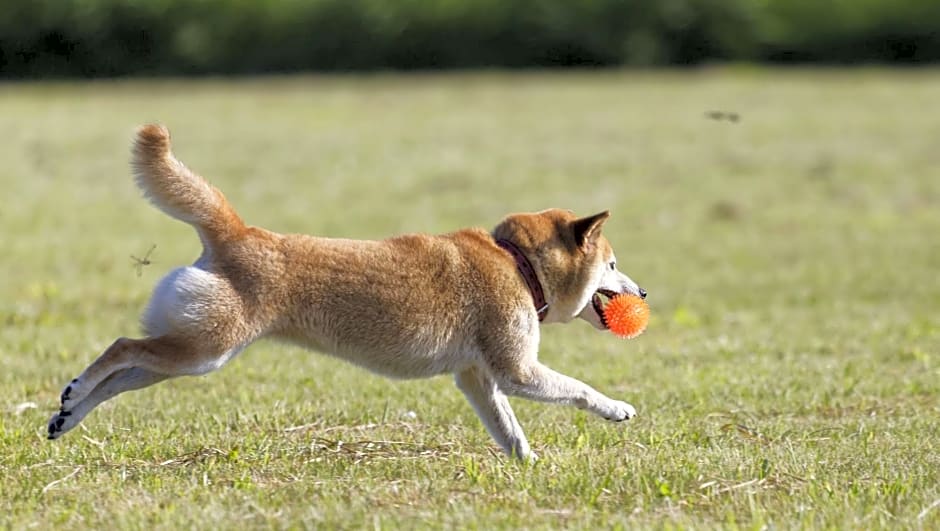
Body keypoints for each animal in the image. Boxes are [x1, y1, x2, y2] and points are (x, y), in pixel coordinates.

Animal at [46, 125, 648, 462]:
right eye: (614, 265)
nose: (642, 290)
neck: (517, 263)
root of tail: (238, 231)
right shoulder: (516, 370)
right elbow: (578, 389)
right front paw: (617, 408)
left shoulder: (478, 378)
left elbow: (509, 430)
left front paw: (531, 467)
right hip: (204, 348)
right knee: (122, 347)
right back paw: (75, 392)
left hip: (194, 352)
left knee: (124, 373)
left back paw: (68, 414)